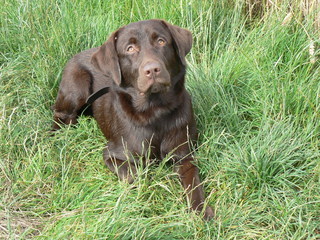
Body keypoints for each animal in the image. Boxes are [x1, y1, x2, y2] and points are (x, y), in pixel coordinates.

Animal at [52, 19, 212, 220]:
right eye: (130, 49)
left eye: (161, 41)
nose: (152, 69)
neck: (155, 111)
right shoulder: (113, 155)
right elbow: (137, 175)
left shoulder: (184, 155)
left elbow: (194, 184)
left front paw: (201, 211)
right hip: (76, 88)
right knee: (59, 114)